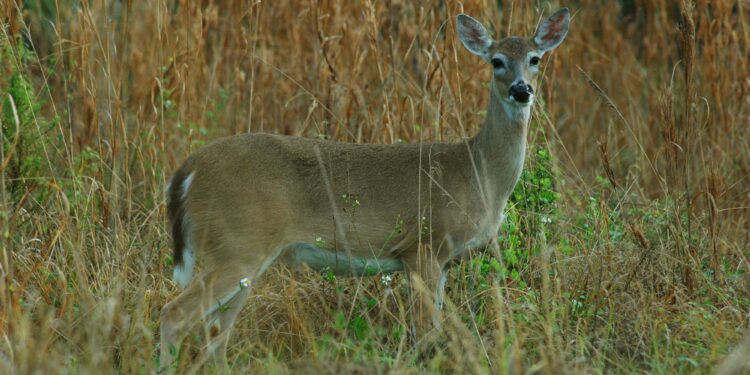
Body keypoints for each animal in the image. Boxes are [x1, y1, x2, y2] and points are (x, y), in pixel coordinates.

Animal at [159, 8, 568, 370]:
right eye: (496, 61)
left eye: (535, 58)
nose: (521, 90)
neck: (477, 172)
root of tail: (187, 171)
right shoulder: (423, 244)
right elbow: (427, 334)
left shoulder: (443, 259)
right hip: (237, 245)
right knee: (173, 316)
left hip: (242, 256)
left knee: (215, 337)